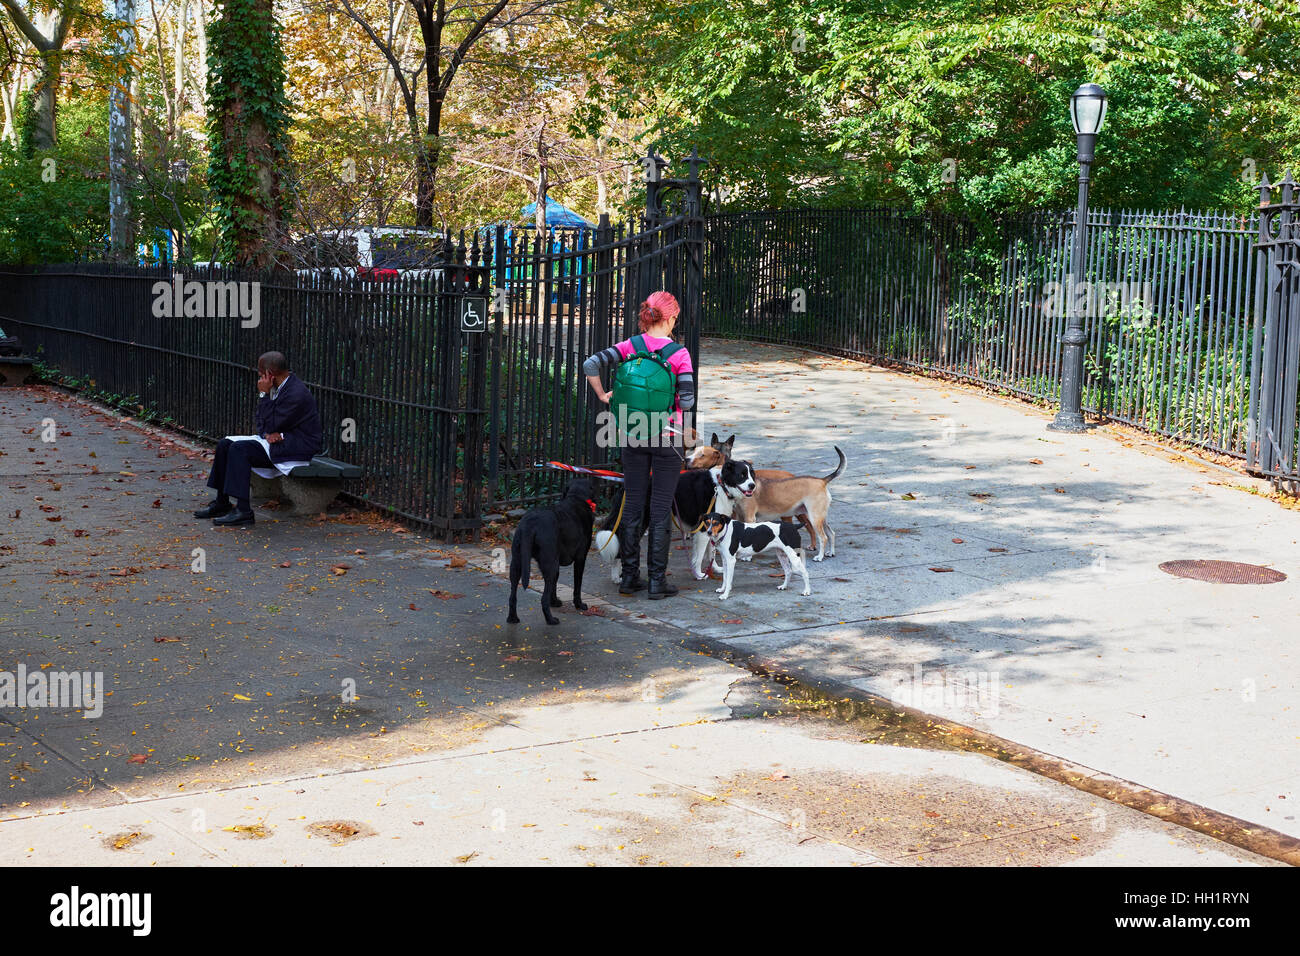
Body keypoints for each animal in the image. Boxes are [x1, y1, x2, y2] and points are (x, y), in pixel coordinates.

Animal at [504, 478, 595, 629]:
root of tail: (530, 523)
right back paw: (551, 620)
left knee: (512, 596)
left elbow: (555, 583)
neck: (576, 498)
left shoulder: (556, 562)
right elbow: (577, 585)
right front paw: (579, 604)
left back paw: (513, 618)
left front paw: (555, 602)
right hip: (549, 564)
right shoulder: (580, 558)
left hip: (517, 563)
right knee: (543, 599)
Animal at [712, 447, 842, 561]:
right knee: (831, 533)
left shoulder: (750, 518)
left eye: (751, 475)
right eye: (742, 475)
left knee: (823, 537)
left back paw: (820, 557)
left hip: (814, 517)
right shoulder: (740, 517)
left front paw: (747, 557)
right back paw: (831, 552)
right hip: (821, 517)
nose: (752, 486)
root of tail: (822, 480)